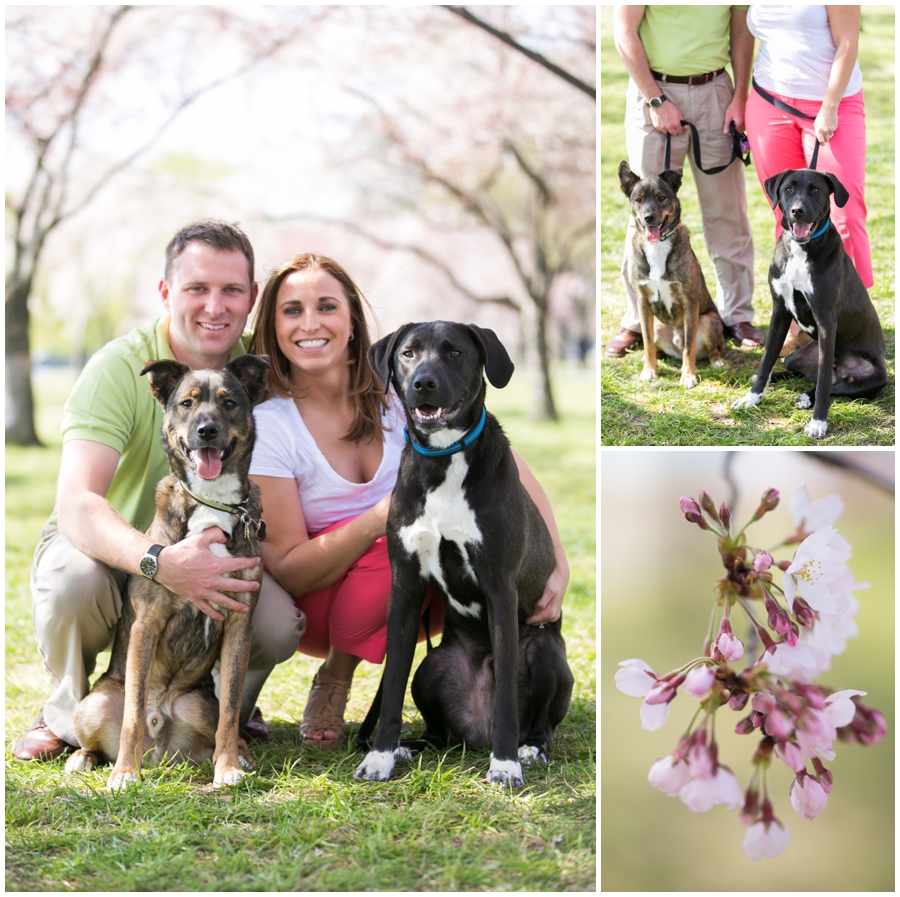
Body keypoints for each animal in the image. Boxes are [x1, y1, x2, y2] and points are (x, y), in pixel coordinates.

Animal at [356, 320, 572, 784]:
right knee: (436, 729)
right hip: (433, 668)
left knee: (540, 724)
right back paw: (410, 747)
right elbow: (391, 684)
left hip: (544, 652)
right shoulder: (405, 590)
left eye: (455, 352)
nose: (423, 383)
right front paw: (380, 755)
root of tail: (476, 732)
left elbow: (507, 690)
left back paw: (528, 748)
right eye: (408, 353)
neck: (443, 461)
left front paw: (505, 766)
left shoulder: (500, 589)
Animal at [620, 163, 724, 386]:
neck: (657, 245)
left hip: (707, 321)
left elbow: (689, 347)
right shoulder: (642, 302)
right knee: (655, 345)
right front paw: (649, 370)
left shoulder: (690, 302)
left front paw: (688, 376)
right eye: (639, 199)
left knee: (712, 350)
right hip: (658, 324)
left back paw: (717, 362)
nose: (649, 218)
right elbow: (647, 342)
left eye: (661, 197)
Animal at [736, 168, 888, 438]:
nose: (797, 210)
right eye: (788, 189)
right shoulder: (780, 312)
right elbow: (766, 360)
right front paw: (752, 397)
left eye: (816, 190)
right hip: (795, 356)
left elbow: (824, 381)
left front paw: (818, 422)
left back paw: (807, 398)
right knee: (799, 370)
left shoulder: (826, 320)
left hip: (875, 378)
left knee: (833, 385)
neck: (801, 250)